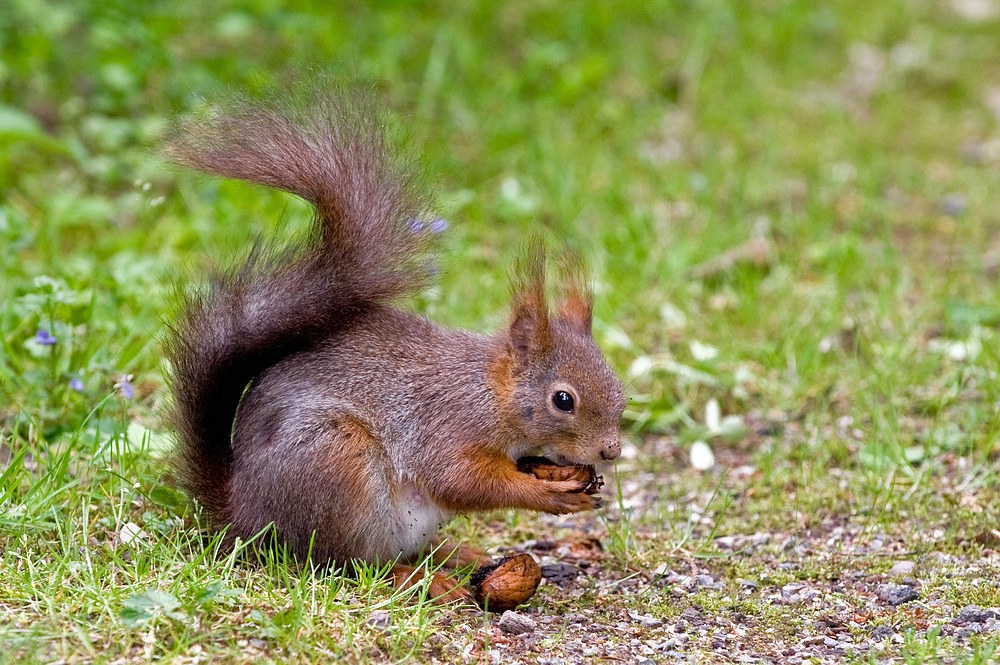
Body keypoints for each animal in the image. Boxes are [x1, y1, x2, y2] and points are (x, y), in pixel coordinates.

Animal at [165, 86, 626, 603]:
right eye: (563, 400)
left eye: (617, 386)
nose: (611, 451)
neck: (492, 395)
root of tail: (248, 516)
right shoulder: (445, 429)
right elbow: (463, 482)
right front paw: (549, 496)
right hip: (338, 467)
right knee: (344, 563)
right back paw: (418, 578)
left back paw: (456, 556)